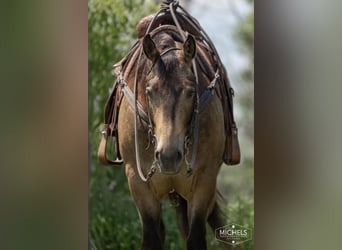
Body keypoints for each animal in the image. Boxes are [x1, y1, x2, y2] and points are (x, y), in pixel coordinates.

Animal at [97, 0, 239, 249]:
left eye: (191, 91)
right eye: (149, 91)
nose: (169, 156)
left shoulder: (204, 182)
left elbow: (196, 237)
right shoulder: (138, 183)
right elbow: (152, 237)